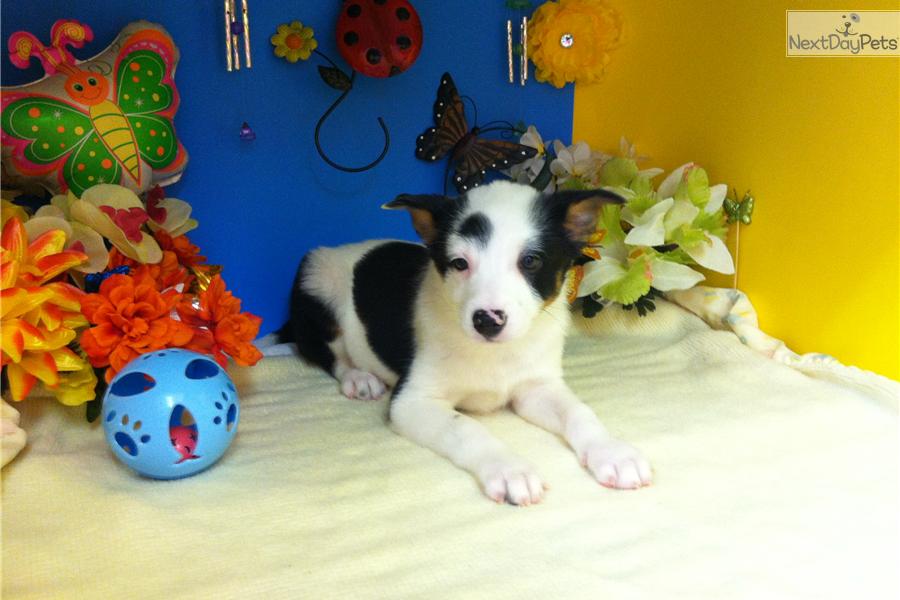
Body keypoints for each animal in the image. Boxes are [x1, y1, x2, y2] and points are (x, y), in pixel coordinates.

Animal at [278, 180, 652, 504]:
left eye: (530, 261)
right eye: (459, 264)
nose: (487, 320)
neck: (495, 354)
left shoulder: (536, 387)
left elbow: (578, 410)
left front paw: (612, 450)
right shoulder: (412, 402)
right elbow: (466, 428)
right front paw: (509, 468)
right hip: (318, 282)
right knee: (326, 353)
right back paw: (358, 378)